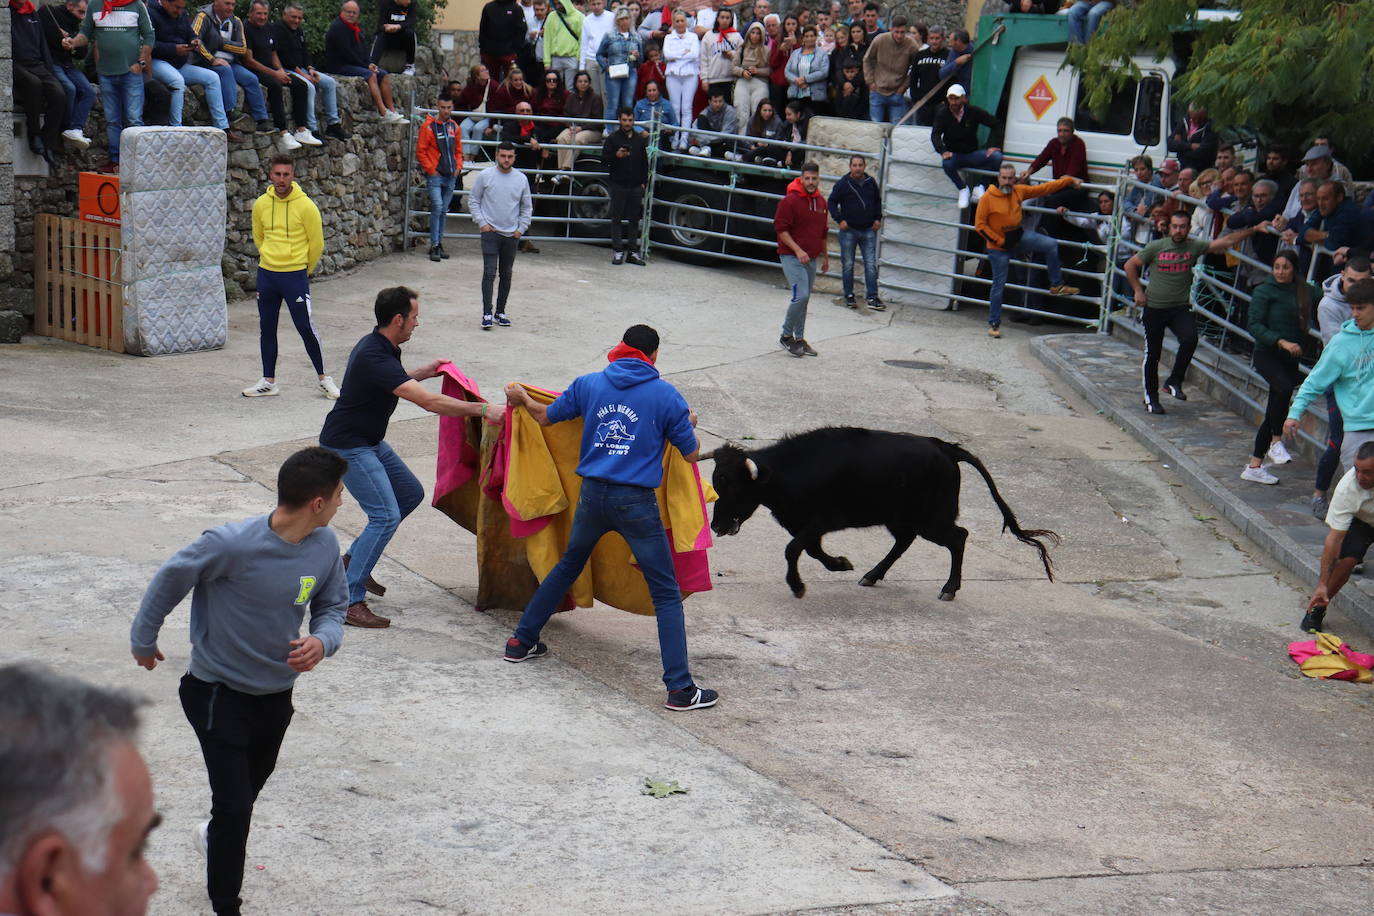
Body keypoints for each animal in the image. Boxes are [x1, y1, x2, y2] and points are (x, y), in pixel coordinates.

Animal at [714, 428, 1055, 601]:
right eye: (717, 483)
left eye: (733, 487)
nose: (716, 526)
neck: (787, 470)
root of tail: (945, 448)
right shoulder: (806, 525)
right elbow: (810, 550)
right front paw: (841, 564)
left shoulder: (822, 520)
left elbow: (793, 549)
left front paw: (797, 586)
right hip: (902, 518)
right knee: (905, 541)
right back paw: (871, 575)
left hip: (931, 519)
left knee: (958, 537)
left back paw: (948, 589)